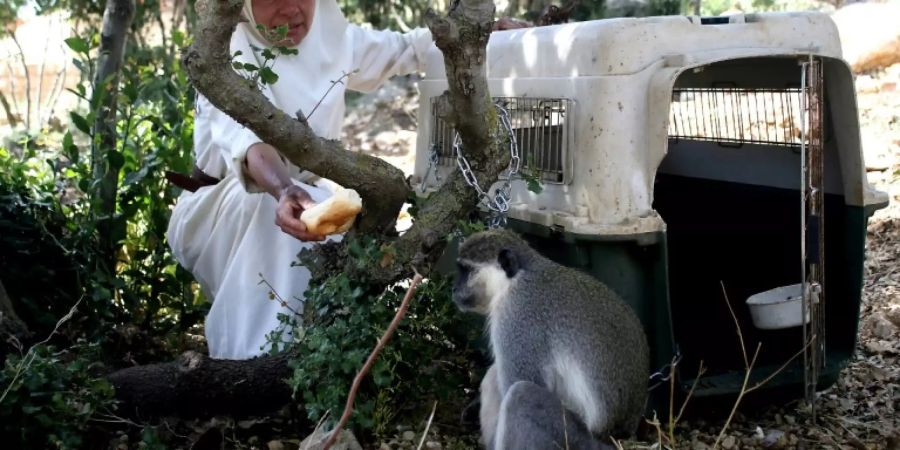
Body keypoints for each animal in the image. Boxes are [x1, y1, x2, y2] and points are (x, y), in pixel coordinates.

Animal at [454, 230, 652, 448]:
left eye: (466, 270)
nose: (454, 289)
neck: (515, 279)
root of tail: (619, 436)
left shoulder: (518, 317)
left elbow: (519, 382)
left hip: (574, 439)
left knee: (520, 394)